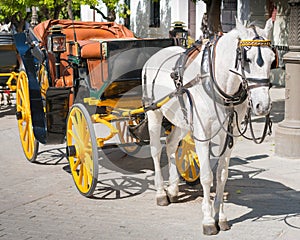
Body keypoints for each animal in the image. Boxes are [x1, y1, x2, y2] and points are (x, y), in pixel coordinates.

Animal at [142, 18, 276, 234]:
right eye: (247, 59)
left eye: (273, 60)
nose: (262, 106)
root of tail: (154, 56)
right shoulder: (202, 134)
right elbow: (206, 176)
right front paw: (208, 220)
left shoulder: (228, 135)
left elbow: (222, 175)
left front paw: (220, 216)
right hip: (153, 113)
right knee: (156, 150)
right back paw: (161, 192)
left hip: (182, 121)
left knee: (170, 144)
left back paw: (173, 188)